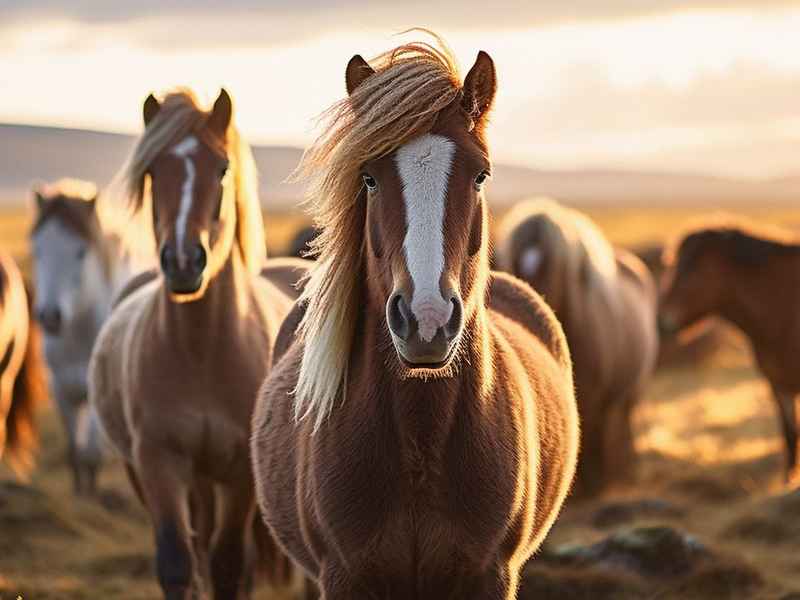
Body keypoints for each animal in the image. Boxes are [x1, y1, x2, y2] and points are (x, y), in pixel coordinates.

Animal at [29, 179, 130, 494]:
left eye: (81, 252)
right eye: (37, 250)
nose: (50, 315)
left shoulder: (98, 394)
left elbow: (92, 454)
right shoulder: (61, 390)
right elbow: (74, 450)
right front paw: (79, 491)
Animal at [89, 88, 307, 599]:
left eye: (222, 169)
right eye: (153, 171)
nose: (185, 261)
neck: (202, 350)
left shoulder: (240, 474)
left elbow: (229, 566)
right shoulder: (159, 462)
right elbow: (178, 562)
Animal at [251, 35, 579, 599]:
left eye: (480, 174)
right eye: (369, 178)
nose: (426, 320)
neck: (420, 438)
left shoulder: (489, 575)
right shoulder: (344, 577)